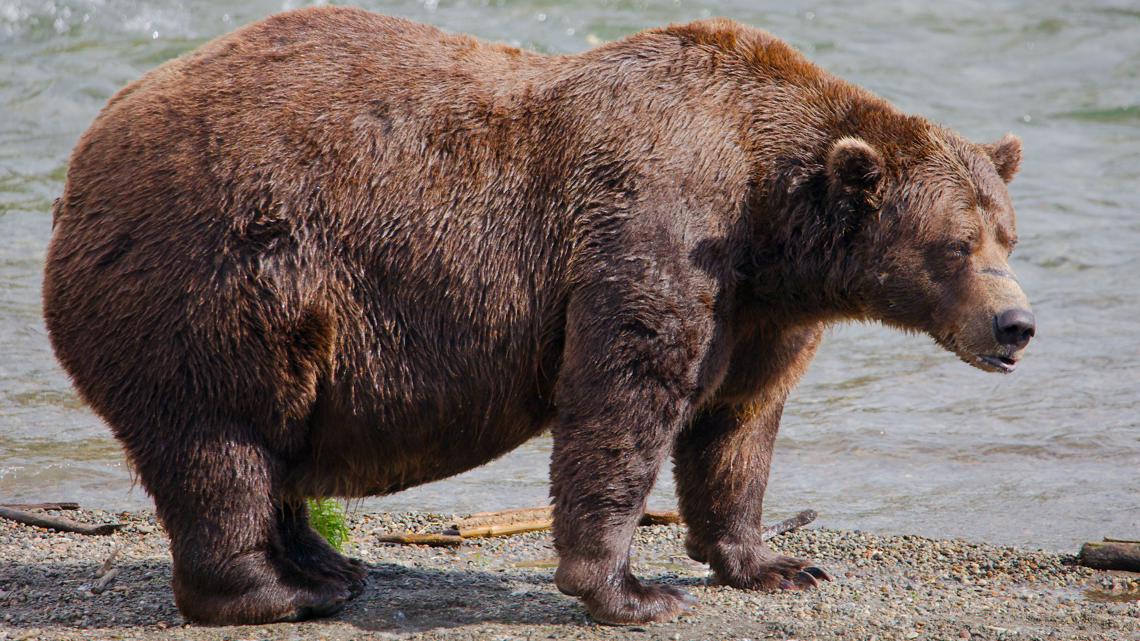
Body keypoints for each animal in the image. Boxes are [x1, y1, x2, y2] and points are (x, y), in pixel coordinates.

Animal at [43, 6, 1035, 626]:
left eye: (1008, 235)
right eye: (955, 245)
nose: (1015, 326)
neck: (770, 214)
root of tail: (81, 160)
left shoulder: (760, 309)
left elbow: (737, 425)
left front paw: (776, 563)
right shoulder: (656, 225)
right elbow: (624, 396)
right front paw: (631, 590)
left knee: (272, 442)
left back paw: (329, 564)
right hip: (217, 275)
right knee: (221, 440)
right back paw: (278, 591)